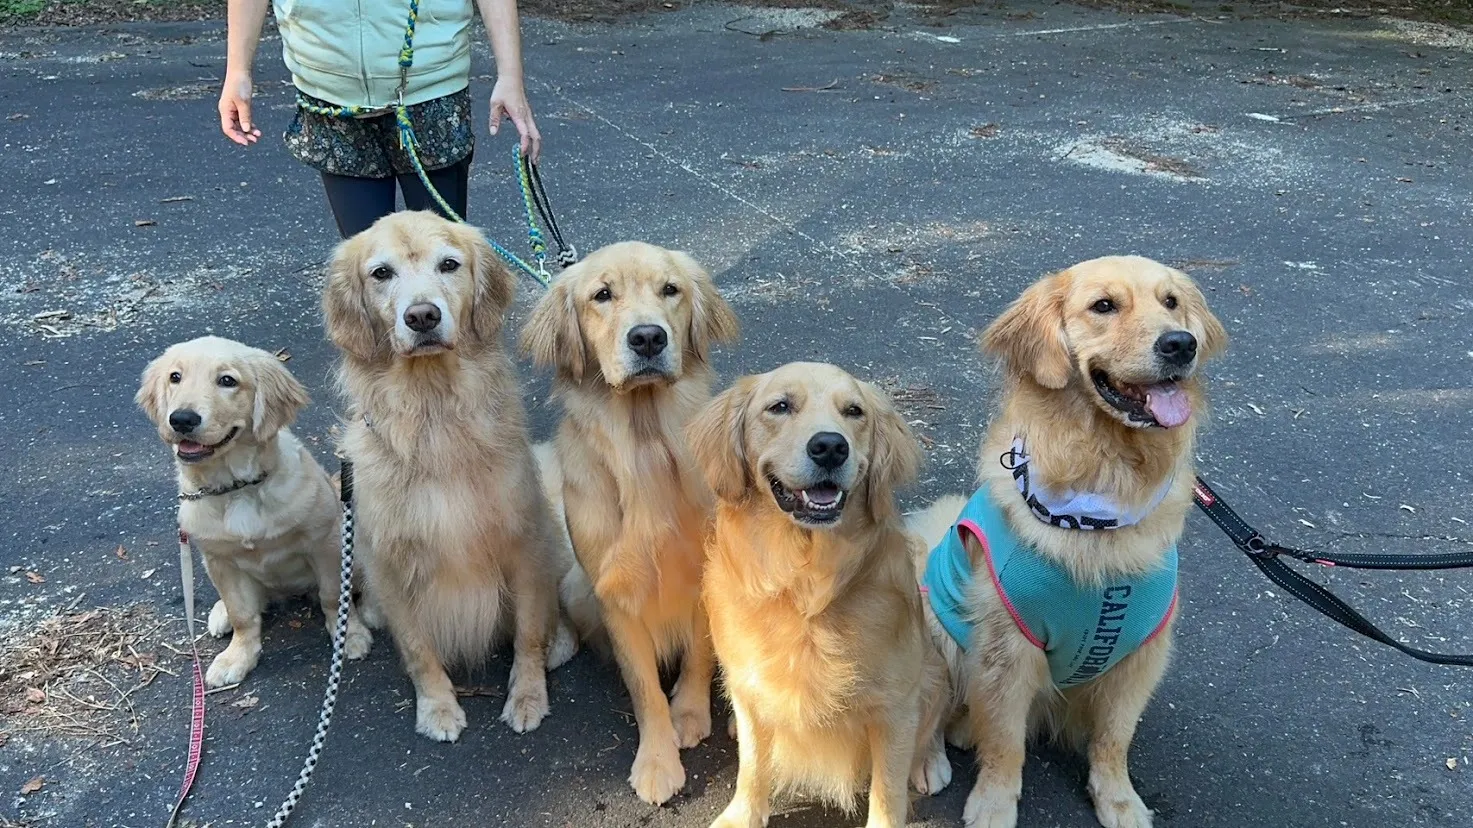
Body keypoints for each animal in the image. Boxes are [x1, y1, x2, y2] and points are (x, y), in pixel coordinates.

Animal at [136, 332, 371, 683]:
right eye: (175, 377)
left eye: (227, 381)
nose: (181, 419)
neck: (236, 488)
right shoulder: (219, 559)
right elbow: (242, 614)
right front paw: (238, 657)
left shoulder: (325, 542)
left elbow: (334, 596)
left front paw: (350, 635)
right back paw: (220, 614)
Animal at [327, 209, 574, 736]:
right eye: (381, 273)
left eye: (449, 265)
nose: (422, 315)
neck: (434, 413)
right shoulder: (390, 563)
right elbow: (418, 648)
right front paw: (437, 705)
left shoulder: (523, 542)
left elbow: (528, 632)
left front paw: (527, 695)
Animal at [524, 237, 742, 801]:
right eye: (602, 295)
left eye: (671, 289)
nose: (647, 337)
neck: (646, 446)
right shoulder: (615, 594)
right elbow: (644, 685)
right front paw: (658, 759)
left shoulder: (706, 574)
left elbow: (699, 655)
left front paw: (689, 713)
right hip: (579, 587)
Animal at [686, 360, 948, 825]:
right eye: (780, 406)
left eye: (854, 412)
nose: (829, 447)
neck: (804, 584)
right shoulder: (750, 685)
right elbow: (753, 765)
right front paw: (744, 813)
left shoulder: (895, 707)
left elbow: (888, 791)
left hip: (933, 666)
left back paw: (930, 761)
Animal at [907, 254, 1231, 819]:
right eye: (1104, 306)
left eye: (1171, 302)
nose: (1181, 343)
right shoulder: (1007, 650)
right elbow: (1005, 743)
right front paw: (994, 805)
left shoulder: (1141, 652)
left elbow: (1113, 739)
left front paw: (1118, 800)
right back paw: (930, 761)